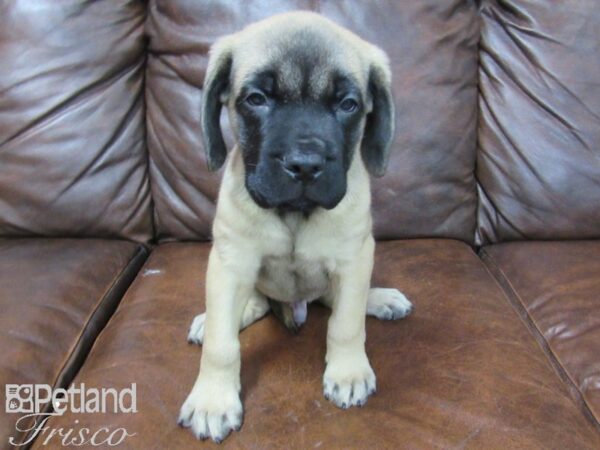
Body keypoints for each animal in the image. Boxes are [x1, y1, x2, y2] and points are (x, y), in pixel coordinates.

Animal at [178, 10, 412, 442]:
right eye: (257, 99)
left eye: (348, 104)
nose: (304, 165)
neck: (294, 215)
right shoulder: (230, 265)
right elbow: (222, 345)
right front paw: (213, 399)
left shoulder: (353, 261)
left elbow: (346, 323)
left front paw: (348, 371)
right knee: (249, 308)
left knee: (338, 302)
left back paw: (380, 299)